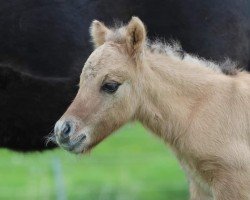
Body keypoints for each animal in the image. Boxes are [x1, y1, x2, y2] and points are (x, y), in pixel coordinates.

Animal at [54, 17, 250, 200]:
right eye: (81, 82)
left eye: (110, 85)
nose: (62, 131)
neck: (202, 109)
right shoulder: (200, 186)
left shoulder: (233, 184)